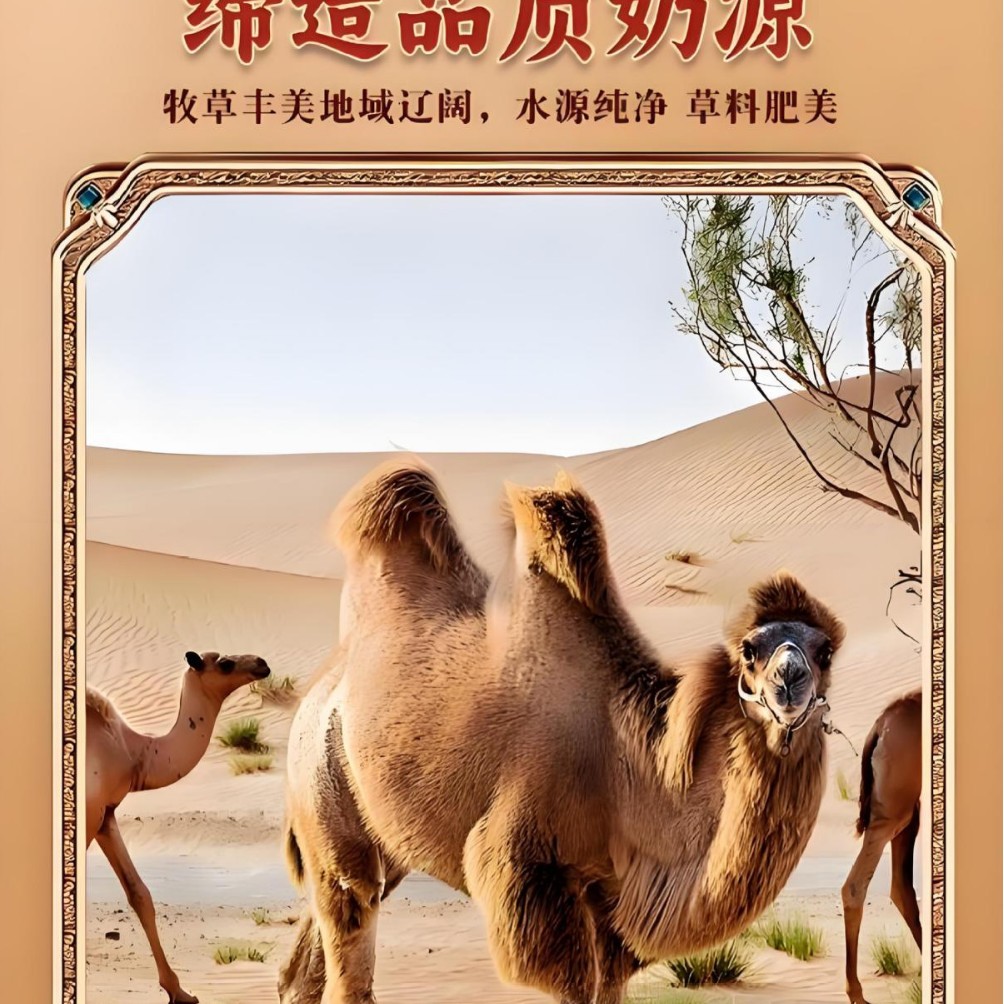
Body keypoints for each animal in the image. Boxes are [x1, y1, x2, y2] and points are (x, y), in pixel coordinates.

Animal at [86, 649, 271, 1003]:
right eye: (225, 664)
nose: (262, 663)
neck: (134, 751)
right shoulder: (88, 816)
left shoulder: (105, 816)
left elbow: (139, 894)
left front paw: (180, 991)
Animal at [279, 462, 846, 1004]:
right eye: (750, 650)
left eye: (824, 651)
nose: (789, 680)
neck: (631, 765)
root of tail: (318, 693)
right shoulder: (530, 867)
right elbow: (571, 982)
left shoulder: (612, 897)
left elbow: (610, 985)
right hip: (322, 790)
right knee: (350, 916)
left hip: (386, 836)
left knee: (308, 963)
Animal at [841, 690, 922, 1004]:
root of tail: (879, 727)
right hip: (894, 812)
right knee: (856, 886)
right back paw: (857, 992)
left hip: (908, 811)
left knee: (901, 886)